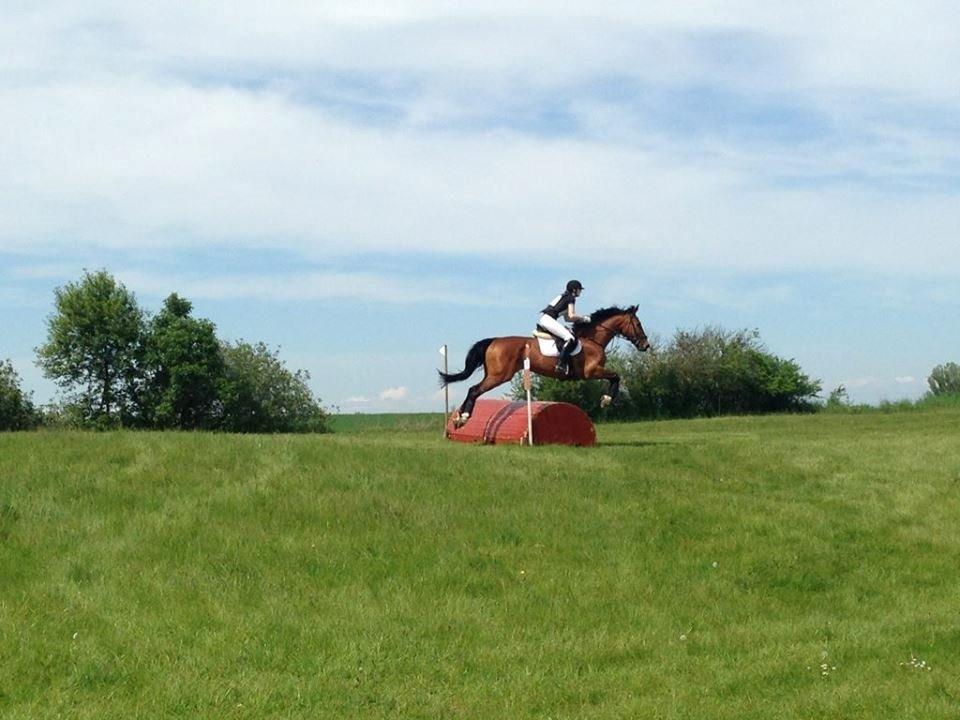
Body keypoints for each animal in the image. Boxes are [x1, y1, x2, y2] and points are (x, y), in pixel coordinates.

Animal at [440, 306, 652, 428]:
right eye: (638, 323)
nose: (645, 345)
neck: (593, 340)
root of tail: (494, 341)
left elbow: (615, 376)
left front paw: (607, 399)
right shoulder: (591, 371)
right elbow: (616, 376)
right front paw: (606, 400)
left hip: (494, 374)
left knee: (472, 389)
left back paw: (459, 418)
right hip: (499, 375)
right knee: (474, 390)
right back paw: (464, 417)